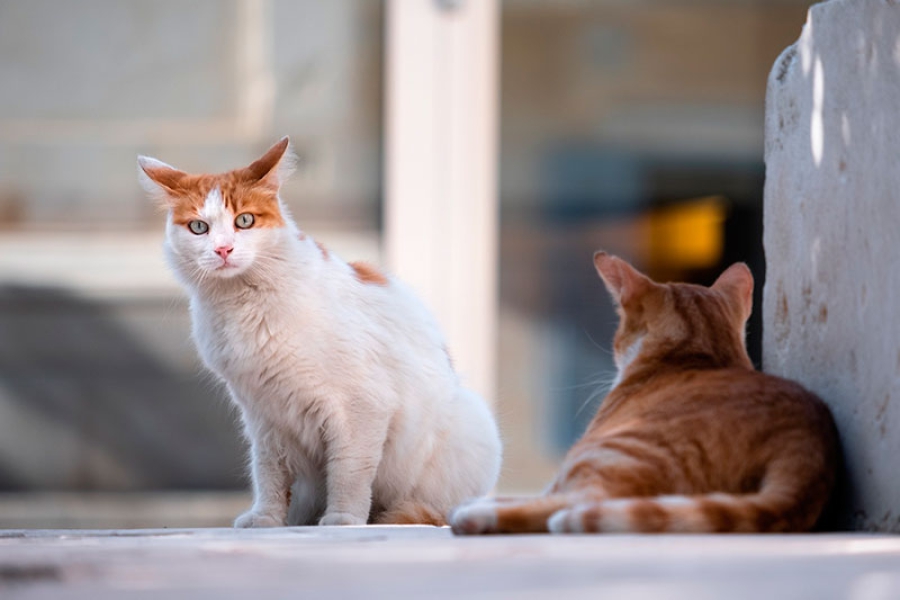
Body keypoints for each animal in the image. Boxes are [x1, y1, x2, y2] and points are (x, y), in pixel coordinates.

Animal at [138, 137, 502, 524]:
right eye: (199, 228)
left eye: (244, 220)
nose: (223, 249)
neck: (242, 303)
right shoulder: (264, 417)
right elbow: (267, 474)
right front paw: (266, 518)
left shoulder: (359, 408)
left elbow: (348, 472)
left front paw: (343, 519)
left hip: (468, 428)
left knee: (431, 509)